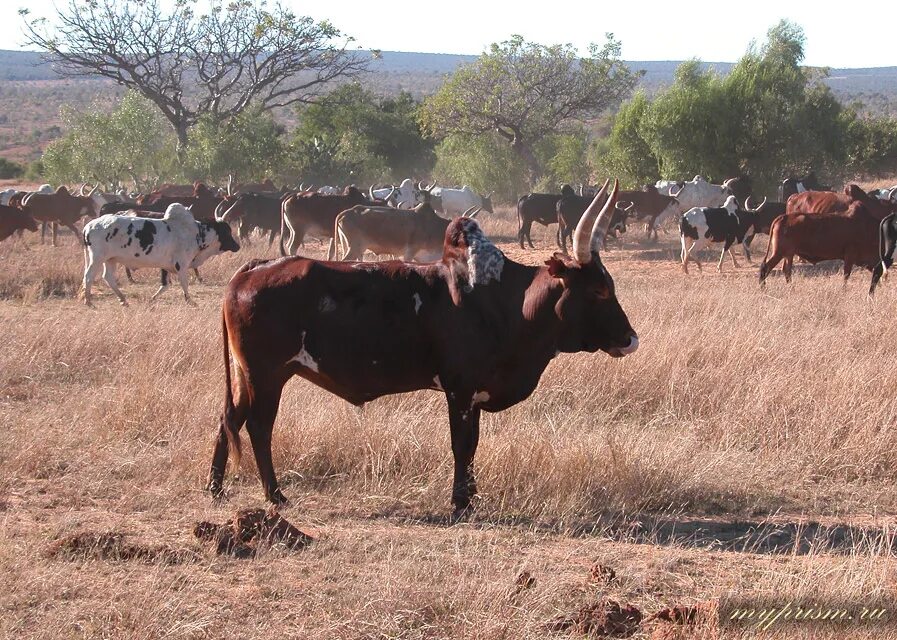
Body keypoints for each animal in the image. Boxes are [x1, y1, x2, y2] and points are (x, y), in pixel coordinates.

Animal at [81, 204, 240, 306]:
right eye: (227, 230)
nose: (237, 246)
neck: (197, 232)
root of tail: (88, 226)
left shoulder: (166, 266)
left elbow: (165, 285)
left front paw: (152, 299)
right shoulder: (181, 264)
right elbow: (184, 283)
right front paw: (190, 301)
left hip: (110, 260)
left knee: (108, 277)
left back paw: (123, 300)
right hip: (97, 258)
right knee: (88, 276)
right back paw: (89, 302)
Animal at [206, 178, 640, 512]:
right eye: (599, 290)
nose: (630, 339)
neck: (505, 301)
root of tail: (253, 269)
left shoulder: (473, 395)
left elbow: (473, 445)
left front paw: (471, 496)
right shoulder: (459, 391)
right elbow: (462, 445)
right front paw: (460, 502)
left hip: (248, 376)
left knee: (230, 418)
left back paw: (216, 488)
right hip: (267, 375)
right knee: (258, 426)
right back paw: (275, 495)